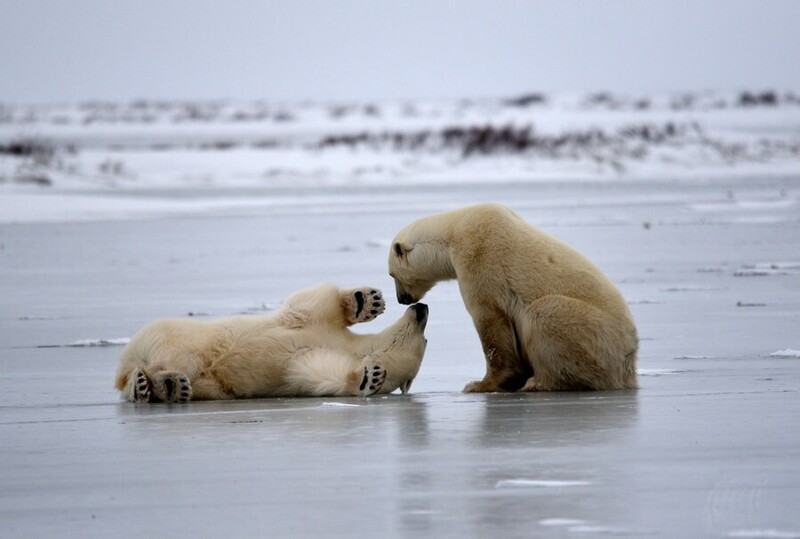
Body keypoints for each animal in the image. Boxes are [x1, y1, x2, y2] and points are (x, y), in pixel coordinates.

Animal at [115, 284, 428, 402]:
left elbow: (320, 373)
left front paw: (369, 376)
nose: (422, 308)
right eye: (426, 337)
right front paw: (367, 301)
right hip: (173, 333)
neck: (353, 348)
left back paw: (164, 386)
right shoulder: (315, 325)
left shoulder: (304, 363)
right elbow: (314, 302)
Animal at [388, 202, 636, 392]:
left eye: (392, 275)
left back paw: (537, 383)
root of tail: (629, 363)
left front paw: (479, 385)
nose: (402, 299)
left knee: (544, 313)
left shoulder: (478, 257)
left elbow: (490, 320)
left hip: (597, 338)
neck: (453, 232)